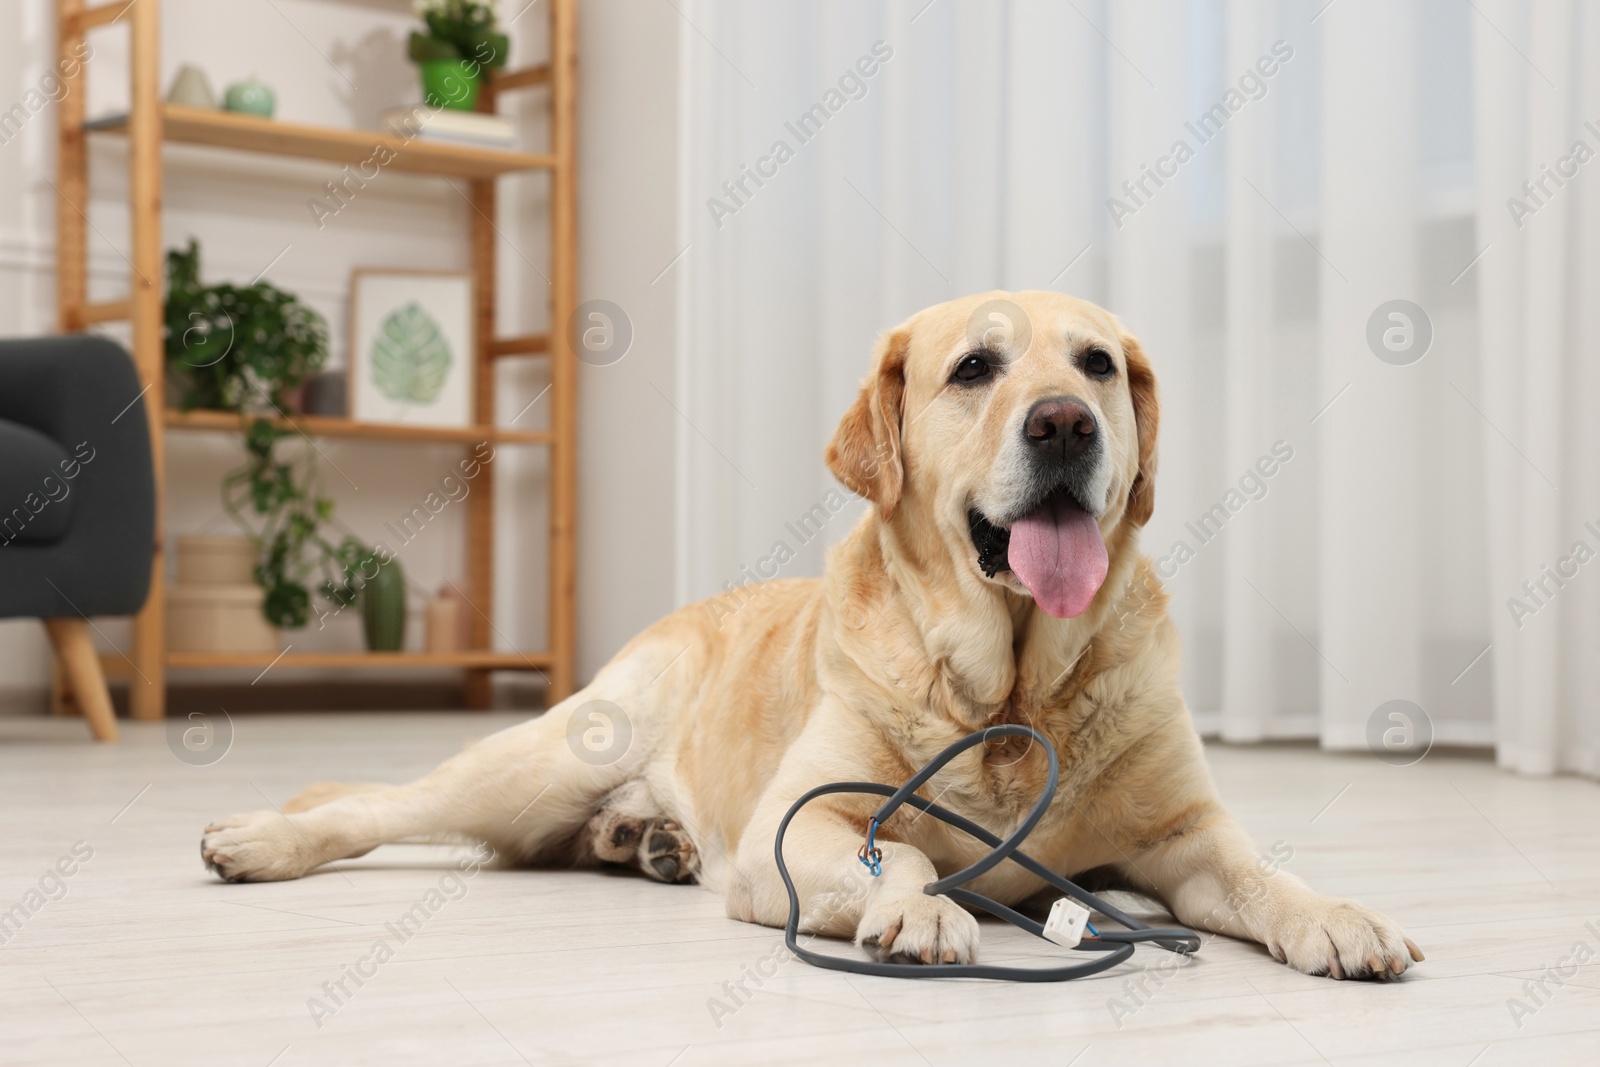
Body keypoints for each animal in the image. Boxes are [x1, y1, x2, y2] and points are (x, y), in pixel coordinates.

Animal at [203, 287, 1427, 979]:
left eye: (1097, 365)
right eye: (974, 368)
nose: (1066, 424)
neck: (1008, 693)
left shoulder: (1185, 833)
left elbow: (1262, 875)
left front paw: (1338, 917)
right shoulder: (801, 831)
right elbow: (903, 859)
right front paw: (918, 907)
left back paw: (641, 837)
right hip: (550, 753)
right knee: (375, 805)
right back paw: (258, 837)